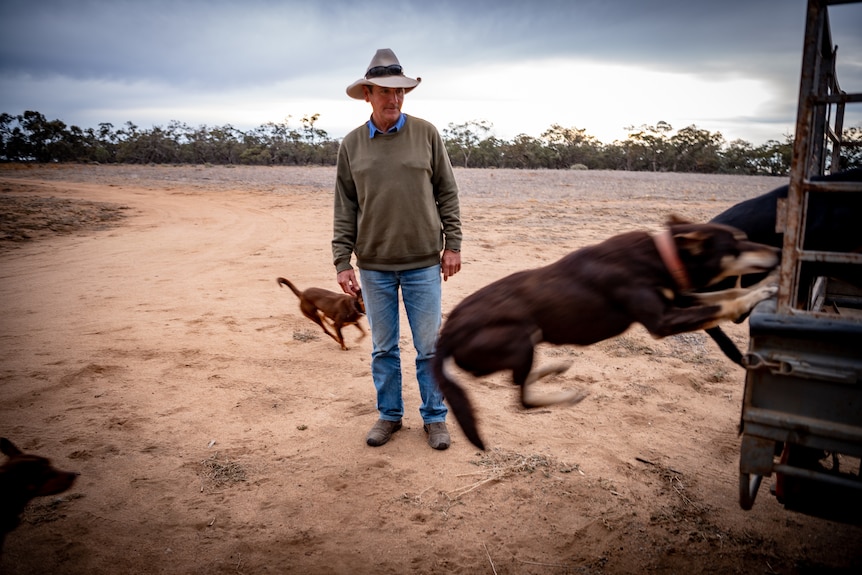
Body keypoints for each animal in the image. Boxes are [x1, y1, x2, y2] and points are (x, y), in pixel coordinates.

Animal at [432, 216, 784, 450]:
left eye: (745, 238)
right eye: (736, 245)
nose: (779, 253)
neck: (662, 256)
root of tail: (446, 333)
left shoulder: (679, 300)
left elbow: (725, 295)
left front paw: (759, 291)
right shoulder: (664, 320)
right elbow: (724, 303)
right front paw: (761, 293)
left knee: (516, 382)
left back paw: (552, 370)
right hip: (522, 335)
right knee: (522, 397)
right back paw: (562, 393)